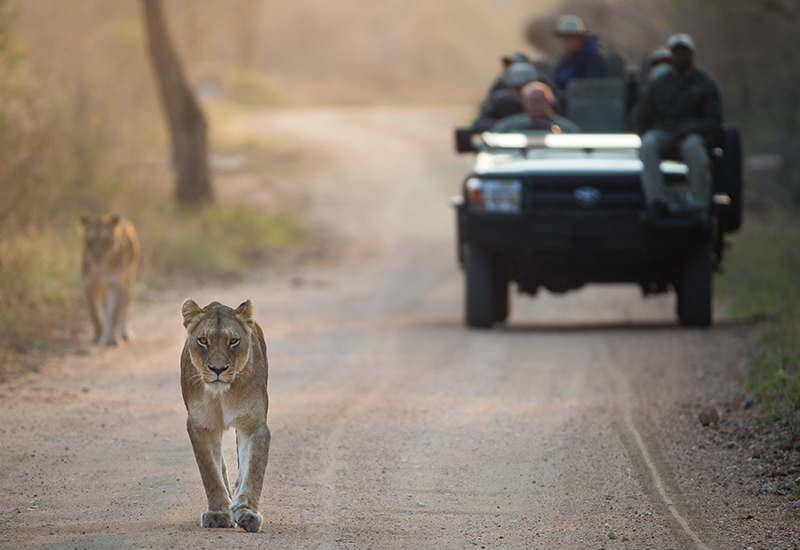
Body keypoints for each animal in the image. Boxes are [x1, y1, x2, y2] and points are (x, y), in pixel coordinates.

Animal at [80, 215, 140, 348]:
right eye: (90, 240)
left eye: (105, 240)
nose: (97, 256)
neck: (102, 266)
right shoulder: (90, 285)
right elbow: (95, 315)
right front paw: (98, 336)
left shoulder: (117, 285)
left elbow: (114, 314)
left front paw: (111, 338)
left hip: (129, 280)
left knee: (124, 308)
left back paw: (124, 333)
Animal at [180, 300, 270, 532]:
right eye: (203, 340)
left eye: (233, 341)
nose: (218, 369)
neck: (221, 393)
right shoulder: (200, 425)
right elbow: (210, 471)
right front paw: (218, 513)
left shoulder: (254, 424)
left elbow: (253, 469)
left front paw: (247, 512)